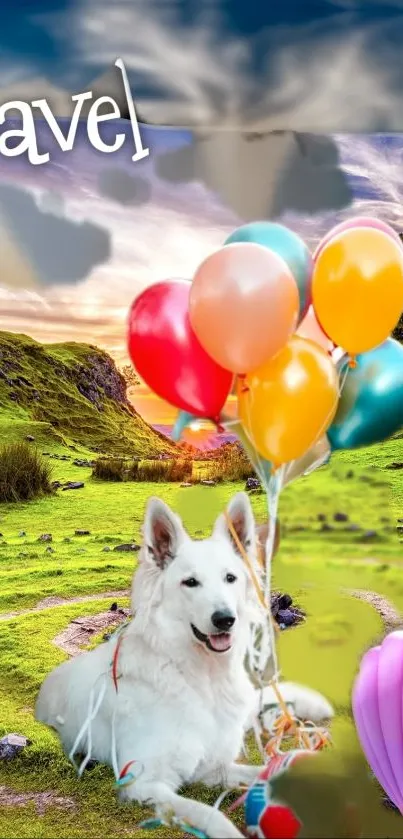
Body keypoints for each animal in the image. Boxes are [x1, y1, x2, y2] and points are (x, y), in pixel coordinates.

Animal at [37, 492, 334, 839]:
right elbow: (211, 815)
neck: (202, 678)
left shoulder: (213, 766)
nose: (225, 619)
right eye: (190, 582)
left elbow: (261, 771)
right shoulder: (145, 782)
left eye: (230, 578)